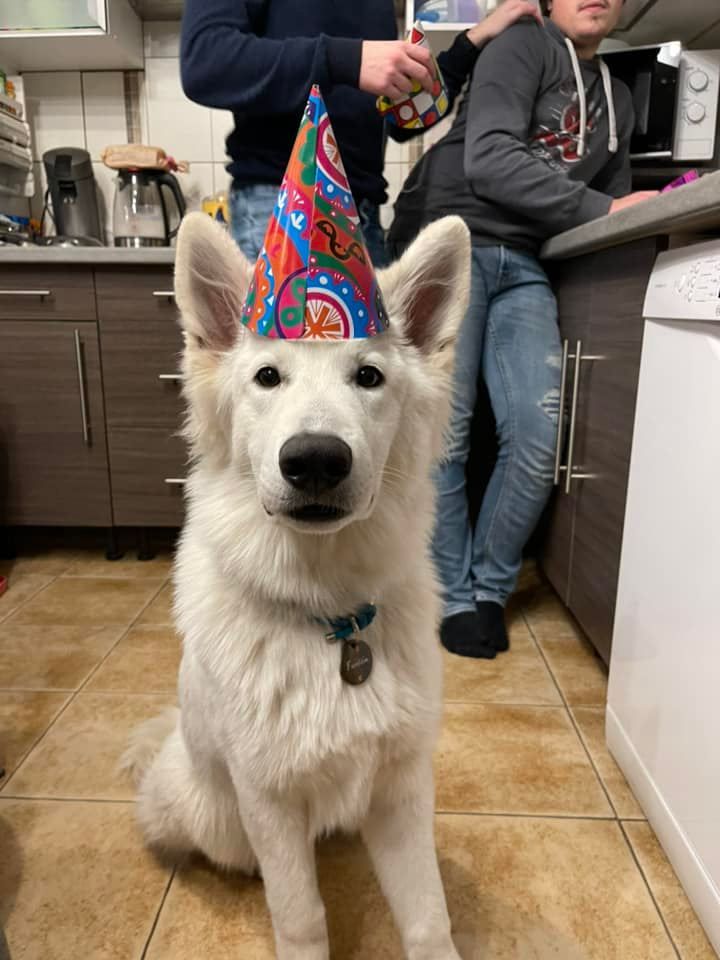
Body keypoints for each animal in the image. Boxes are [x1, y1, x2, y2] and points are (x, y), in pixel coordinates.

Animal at [122, 212, 472, 960]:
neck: (329, 616)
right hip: (204, 812)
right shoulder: (269, 801)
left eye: (368, 376)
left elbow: (428, 914)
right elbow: (302, 913)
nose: (315, 459)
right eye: (267, 377)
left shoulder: (401, 789)